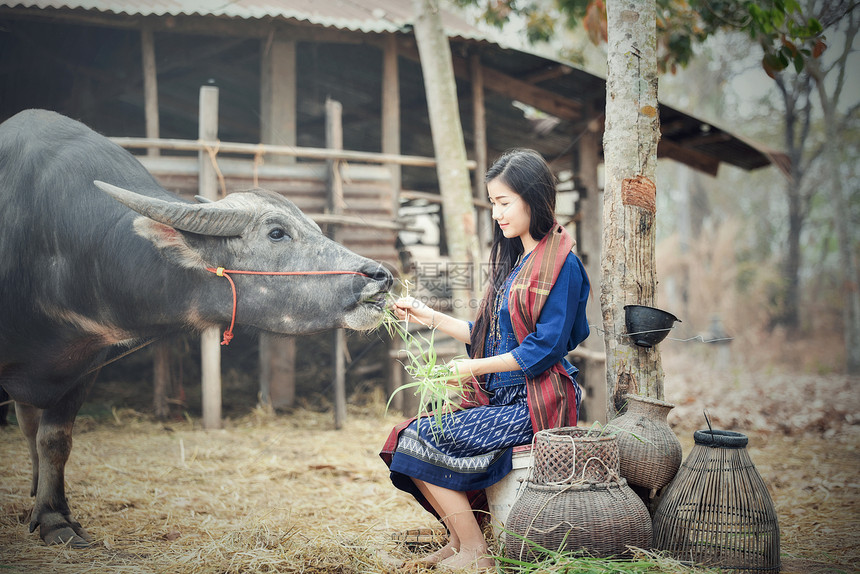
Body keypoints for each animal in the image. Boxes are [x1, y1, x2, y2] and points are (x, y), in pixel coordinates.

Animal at [0, 109, 394, 548]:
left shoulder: (86, 365)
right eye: (277, 232)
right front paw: (53, 519)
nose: (380, 276)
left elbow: (55, 439)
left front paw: (54, 516)